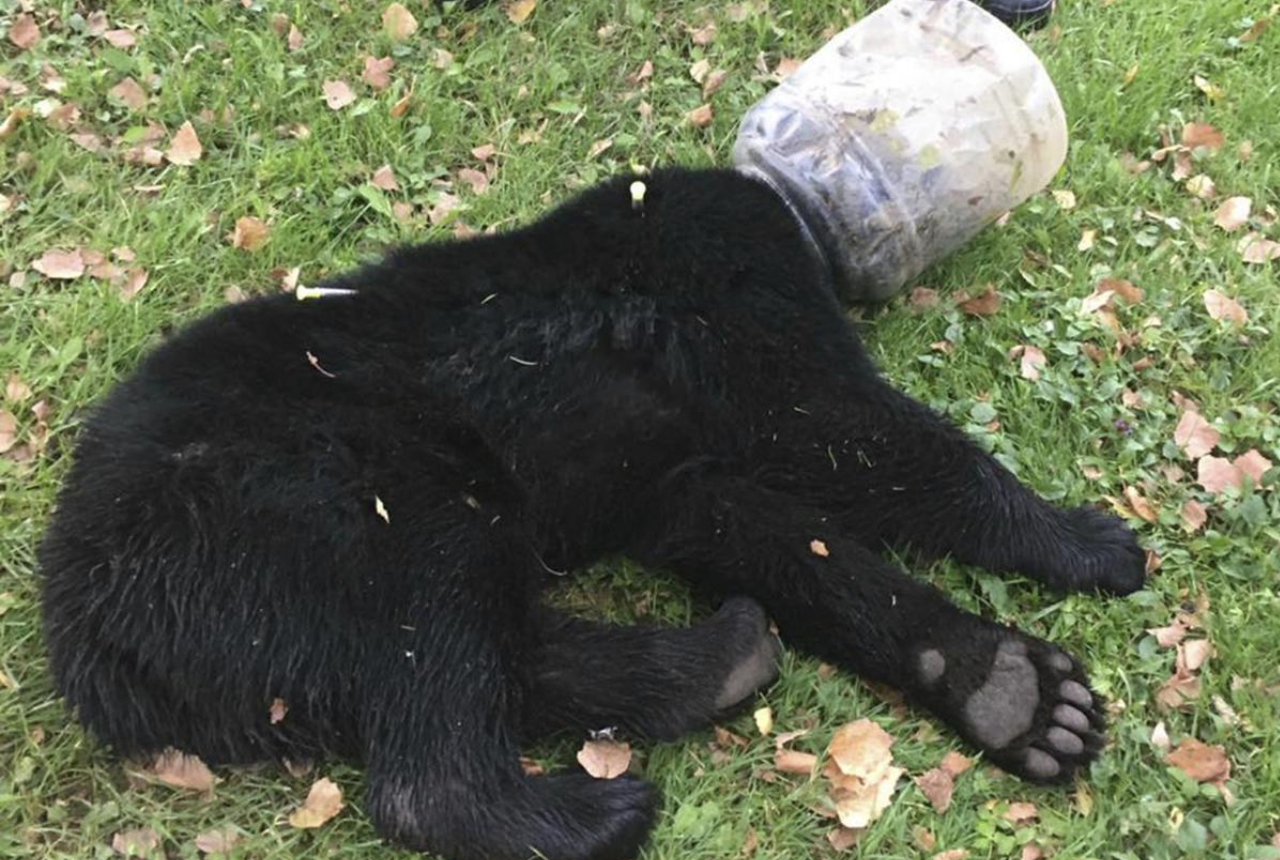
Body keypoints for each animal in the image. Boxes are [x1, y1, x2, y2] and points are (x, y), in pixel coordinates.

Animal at [40, 167, 1146, 860]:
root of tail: (86, 621)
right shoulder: (726, 267)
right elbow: (834, 424)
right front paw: (1084, 543)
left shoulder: (666, 475)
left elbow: (768, 529)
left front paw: (1004, 684)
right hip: (331, 484)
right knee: (438, 660)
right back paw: (591, 811)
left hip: (266, 616)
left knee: (488, 647)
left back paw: (722, 657)